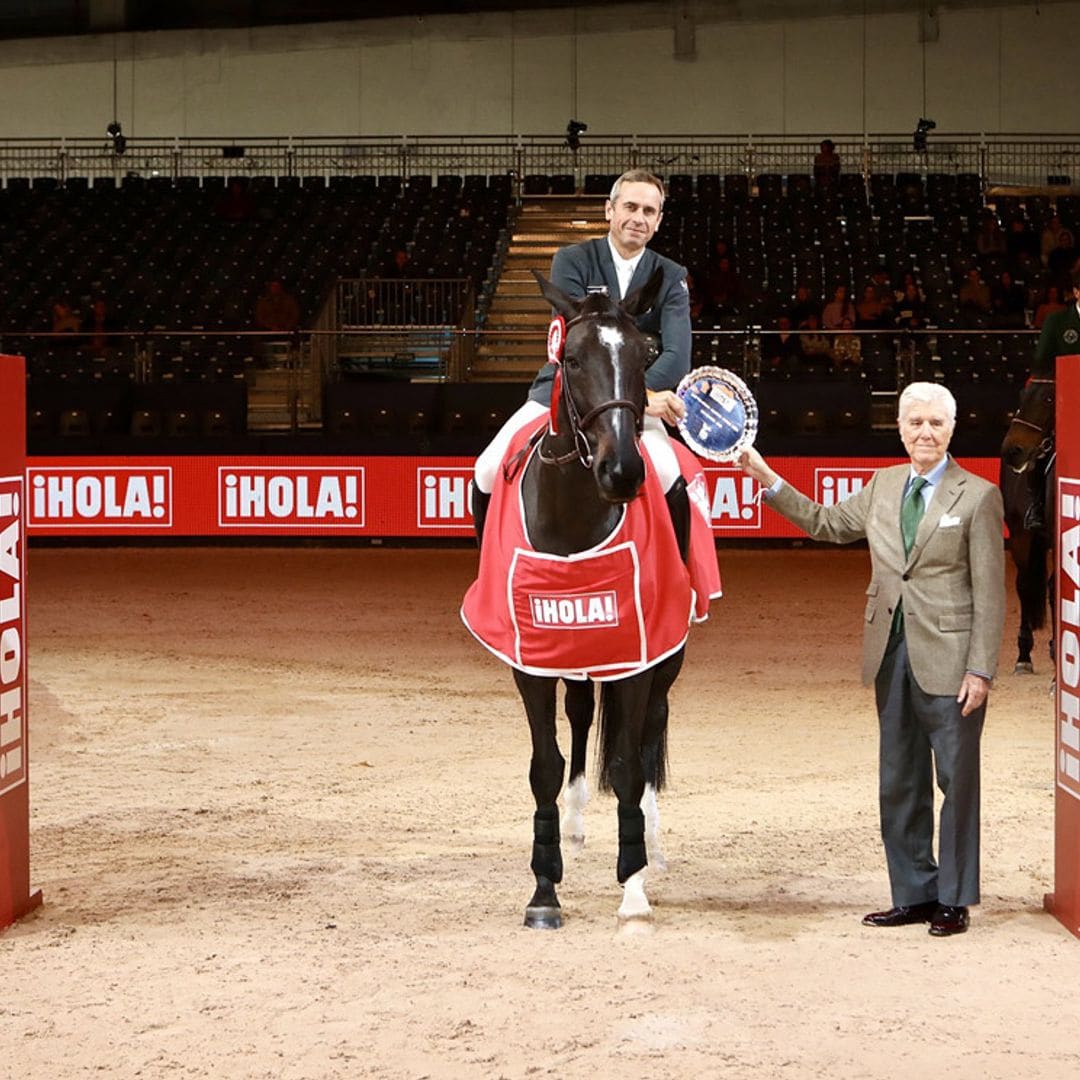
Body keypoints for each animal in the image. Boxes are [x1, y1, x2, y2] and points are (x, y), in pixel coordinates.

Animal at [473, 270, 691, 928]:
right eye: (569, 357)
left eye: (646, 355)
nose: (621, 471)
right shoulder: (530, 658)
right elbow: (544, 765)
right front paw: (544, 889)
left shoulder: (639, 653)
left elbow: (626, 765)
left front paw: (634, 885)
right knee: (579, 713)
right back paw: (572, 822)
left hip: (664, 655)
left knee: (649, 731)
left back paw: (653, 839)